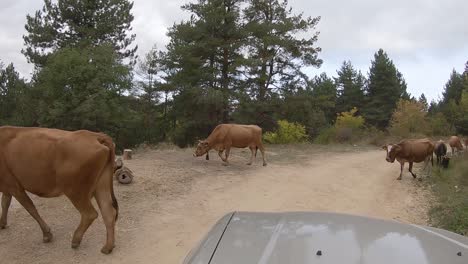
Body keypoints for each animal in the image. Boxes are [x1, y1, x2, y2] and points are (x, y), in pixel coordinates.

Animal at [0, 127, 119, 255]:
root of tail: (95, 135)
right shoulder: (7, 187)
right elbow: (5, 203)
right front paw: (2, 224)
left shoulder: (14, 186)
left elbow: (31, 208)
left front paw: (47, 234)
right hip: (101, 185)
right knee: (108, 212)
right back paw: (108, 247)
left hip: (75, 190)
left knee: (90, 214)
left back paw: (76, 240)